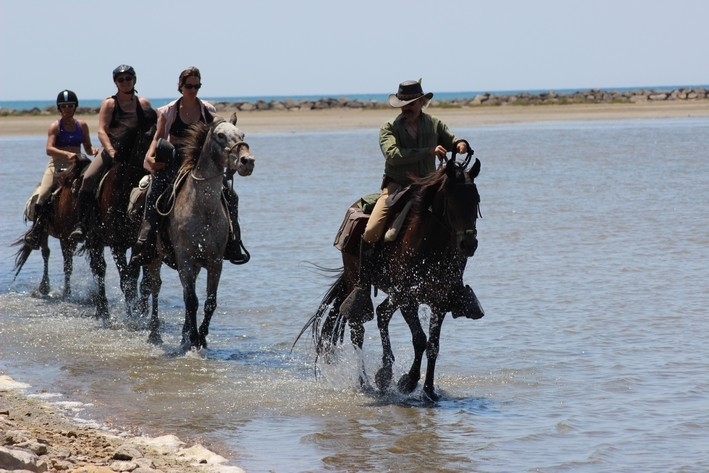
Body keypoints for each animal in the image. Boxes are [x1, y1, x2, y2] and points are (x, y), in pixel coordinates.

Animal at [140, 116, 256, 348]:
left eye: (242, 134)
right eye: (220, 135)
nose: (248, 161)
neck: (203, 210)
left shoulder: (215, 262)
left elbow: (209, 302)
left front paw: (200, 336)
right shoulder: (185, 260)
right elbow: (191, 300)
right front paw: (194, 338)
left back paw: (184, 333)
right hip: (154, 258)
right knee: (154, 288)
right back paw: (155, 333)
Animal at [298, 157, 482, 400]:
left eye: (476, 200)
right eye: (451, 201)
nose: (469, 245)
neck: (430, 246)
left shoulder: (438, 302)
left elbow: (433, 345)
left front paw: (429, 390)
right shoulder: (408, 300)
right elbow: (420, 339)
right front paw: (409, 382)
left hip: (393, 294)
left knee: (382, 313)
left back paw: (384, 373)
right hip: (358, 282)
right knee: (358, 329)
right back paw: (366, 382)